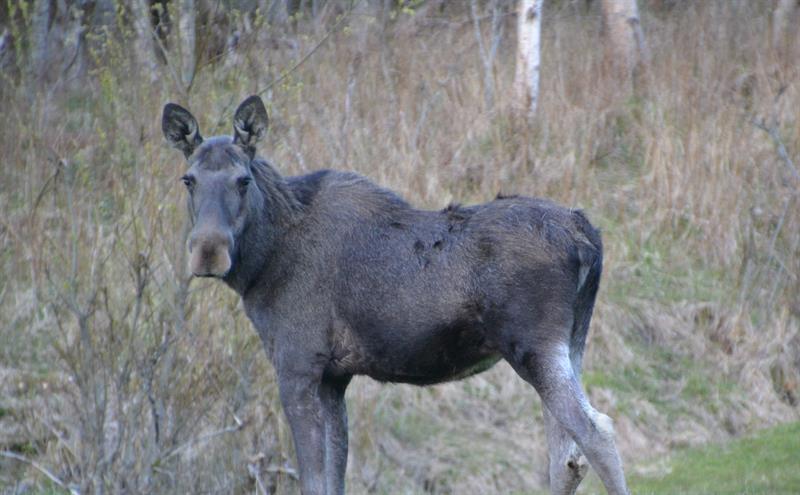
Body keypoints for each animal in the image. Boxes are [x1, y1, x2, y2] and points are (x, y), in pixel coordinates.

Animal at [161, 95, 624, 494]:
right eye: (188, 180)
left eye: (243, 180)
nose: (208, 251)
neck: (263, 262)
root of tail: (588, 237)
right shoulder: (334, 377)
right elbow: (334, 476)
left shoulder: (297, 365)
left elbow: (313, 478)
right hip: (569, 344)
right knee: (566, 458)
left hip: (533, 346)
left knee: (597, 432)